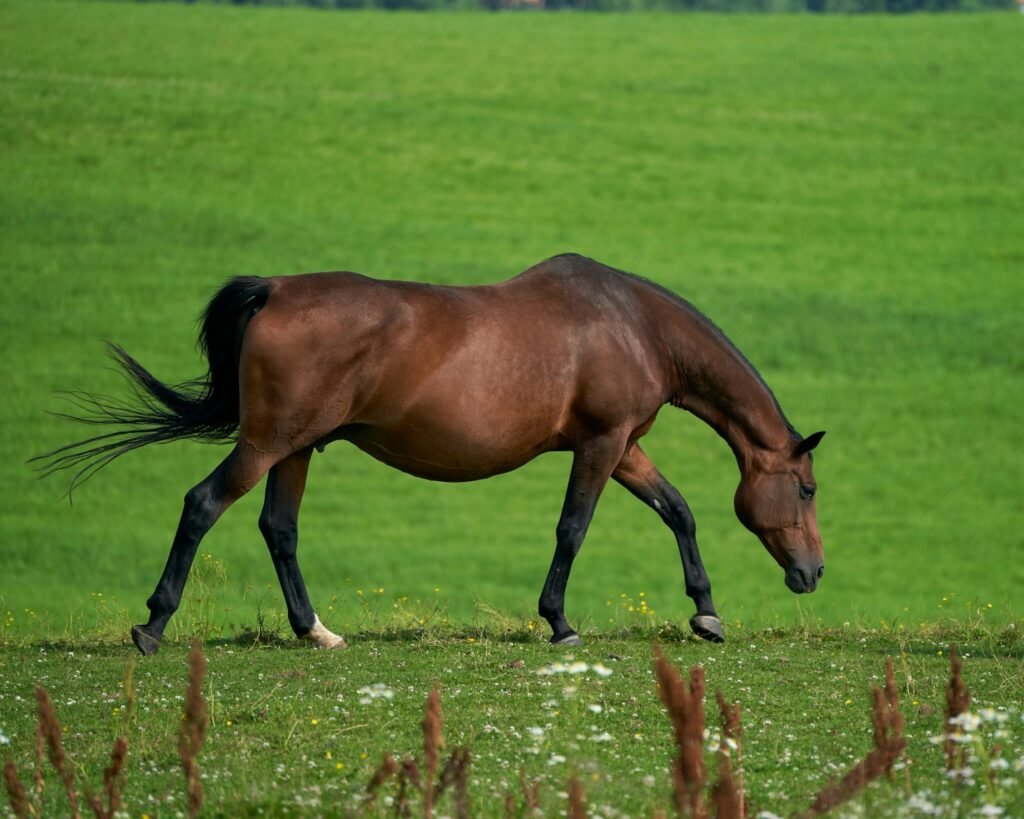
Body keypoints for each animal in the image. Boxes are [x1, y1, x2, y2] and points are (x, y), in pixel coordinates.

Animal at [36, 253, 825, 655]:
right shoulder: (601, 445)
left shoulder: (624, 446)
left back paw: (315, 630)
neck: (631, 323)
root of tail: (276, 290)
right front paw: (559, 622)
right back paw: (151, 627)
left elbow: (679, 512)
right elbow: (573, 529)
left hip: (297, 448)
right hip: (265, 444)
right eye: (808, 490)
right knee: (202, 505)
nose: (812, 572)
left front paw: (706, 613)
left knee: (279, 530)